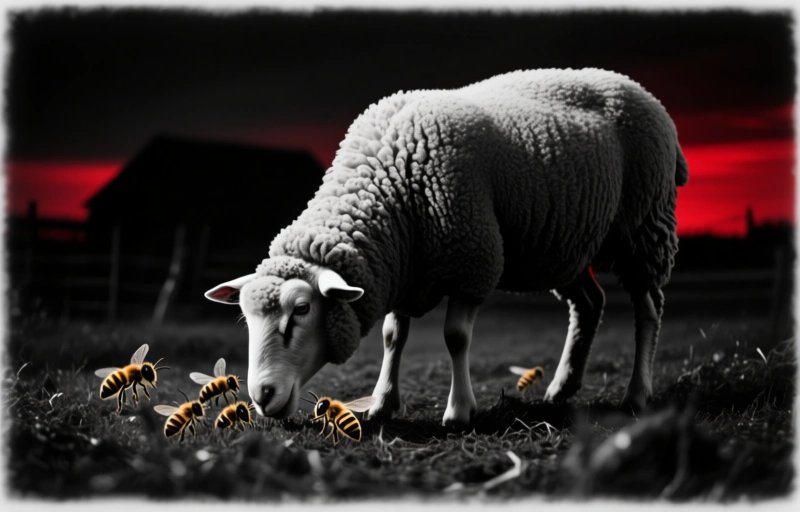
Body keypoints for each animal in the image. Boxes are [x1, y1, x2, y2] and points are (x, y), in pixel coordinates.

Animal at [205, 68, 689, 427]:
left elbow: (455, 337)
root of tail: (641, 90)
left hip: (644, 228)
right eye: (245, 317)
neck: (389, 188)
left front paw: (459, 411)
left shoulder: (472, 262)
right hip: (567, 246)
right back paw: (561, 388)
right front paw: (382, 402)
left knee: (648, 308)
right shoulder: (403, 265)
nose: (261, 395)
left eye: (302, 310)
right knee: (589, 304)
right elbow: (392, 336)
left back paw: (637, 393)